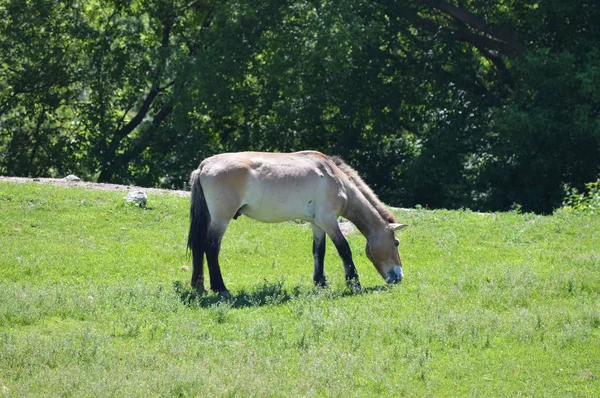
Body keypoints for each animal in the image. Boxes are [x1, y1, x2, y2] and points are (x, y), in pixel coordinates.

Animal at [188, 151, 408, 296]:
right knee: (211, 247)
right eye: (396, 243)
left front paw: (321, 283)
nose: (399, 277)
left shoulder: (317, 224)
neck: (335, 178)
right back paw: (221, 288)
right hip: (221, 219)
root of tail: (203, 166)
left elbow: (319, 252)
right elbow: (344, 249)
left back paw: (199, 286)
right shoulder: (329, 221)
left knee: (199, 247)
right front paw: (354, 283)